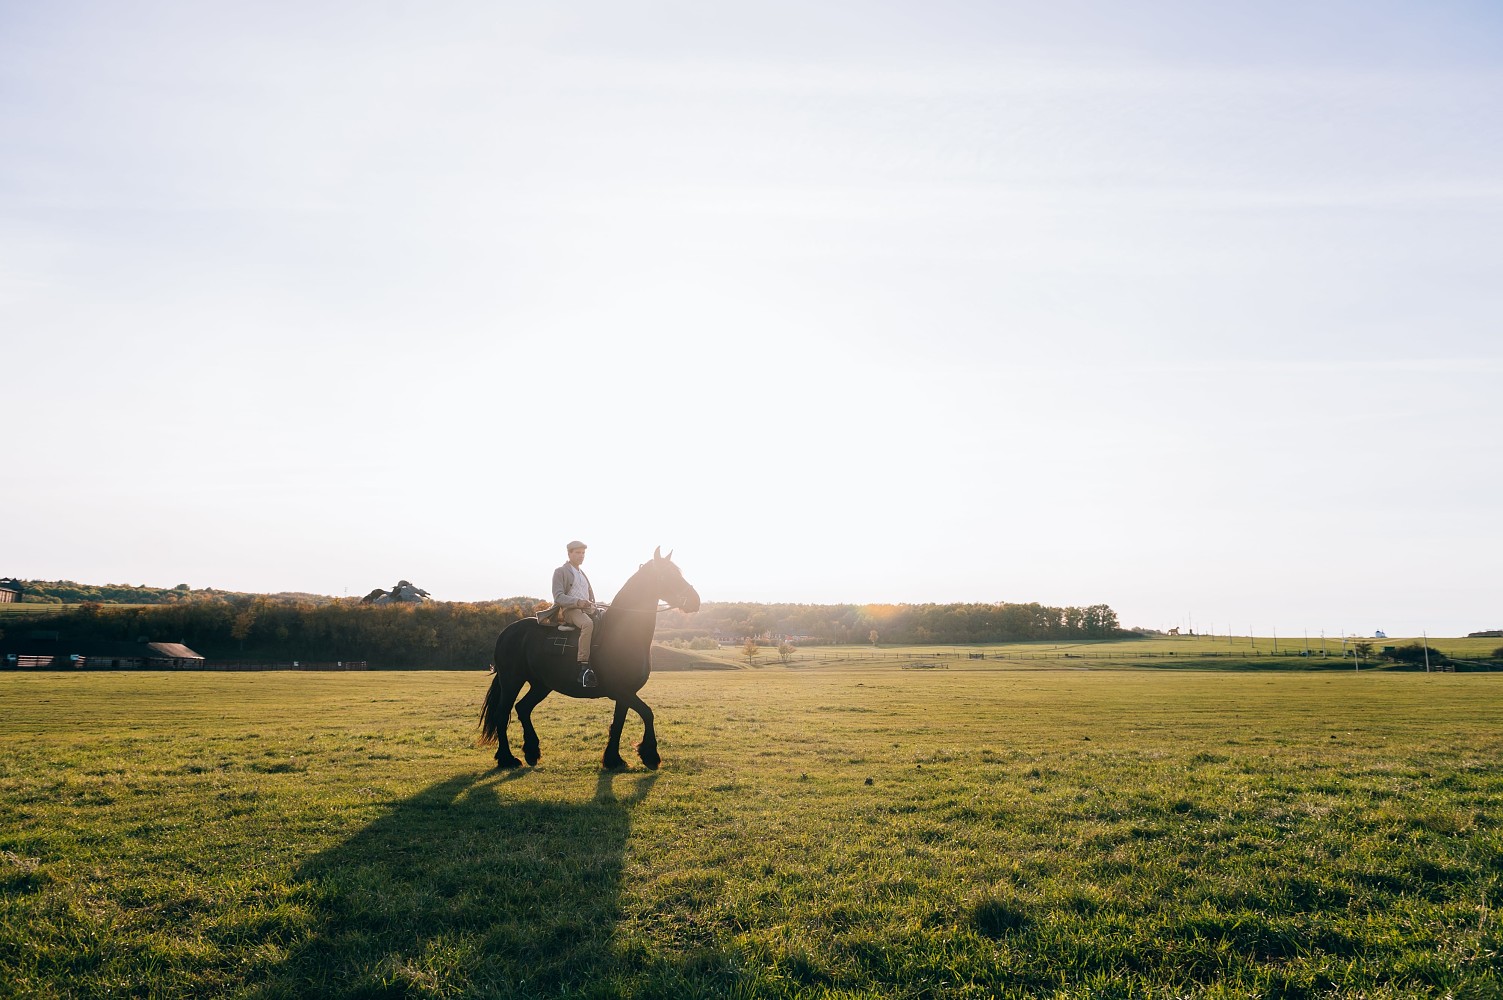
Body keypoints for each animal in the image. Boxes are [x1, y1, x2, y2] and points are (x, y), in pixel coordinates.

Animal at [477, 550, 700, 766]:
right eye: (667, 575)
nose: (695, 601)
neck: (622, 634)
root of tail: (508, 632)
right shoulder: (622, 690)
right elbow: (647, 713)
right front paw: (650, 755)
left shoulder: (625, 694)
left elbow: (619, 723)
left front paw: (613, 759)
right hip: (512, 681)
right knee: (502, 714)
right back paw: (507, 758)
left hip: (541, 685)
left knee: (523, 708)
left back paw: (531, 752)